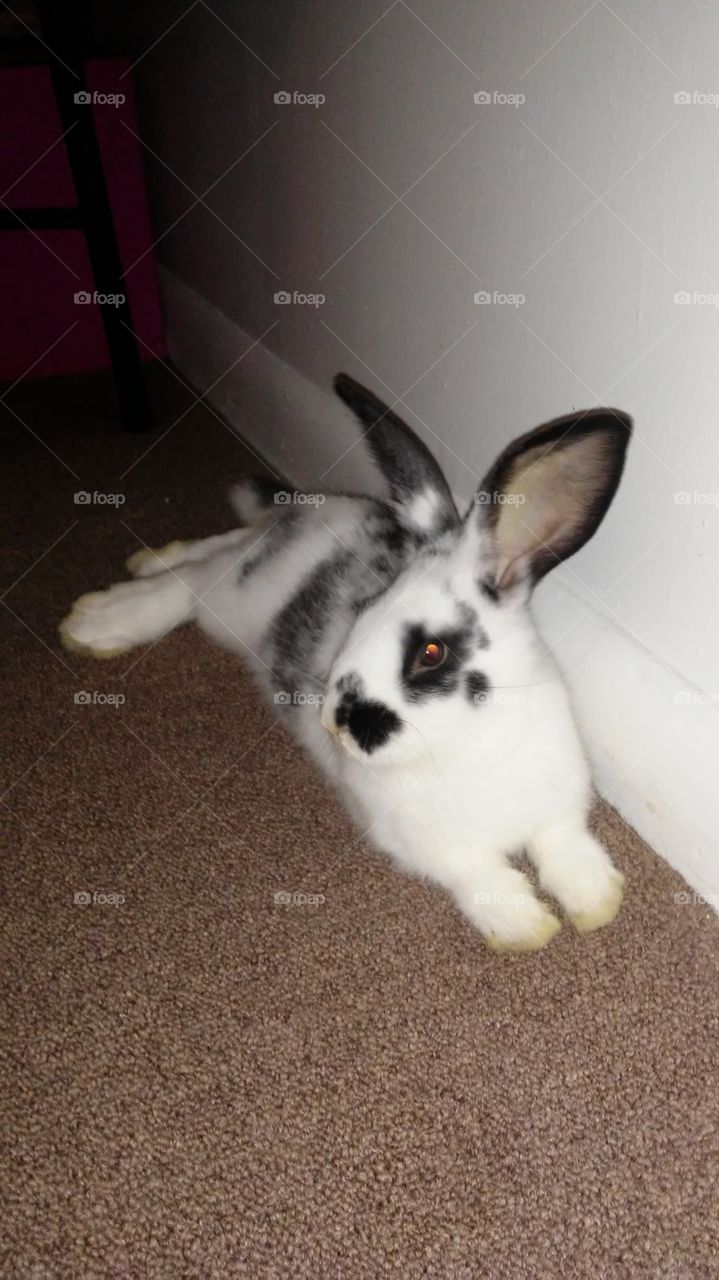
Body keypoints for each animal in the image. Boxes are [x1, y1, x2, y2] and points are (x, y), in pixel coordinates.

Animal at [59, 373, 632, 951]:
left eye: (430, 653)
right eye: (363, 612)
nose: (334, 724)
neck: (474, 747)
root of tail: (311, 513)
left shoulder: (560, 811)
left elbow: (566, 847)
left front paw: (598, 902)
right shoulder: (436, 849)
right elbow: (483, 877)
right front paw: (526, 928)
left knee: (221, 548)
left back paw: (152, 557)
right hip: (229, 604)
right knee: (191, 585)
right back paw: (97, 620)